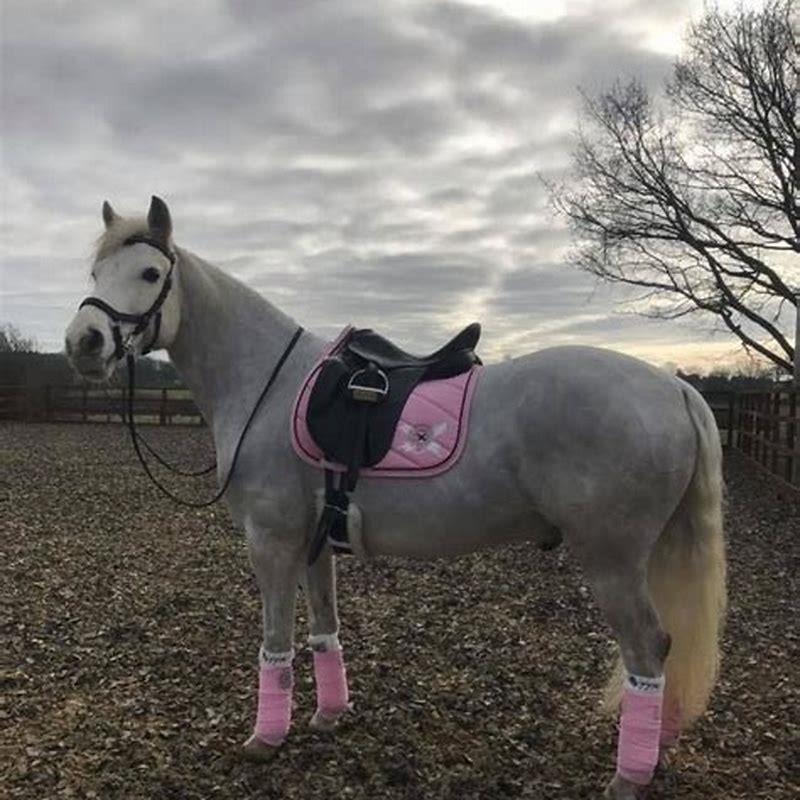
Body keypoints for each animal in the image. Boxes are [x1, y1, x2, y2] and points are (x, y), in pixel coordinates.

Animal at [65, 197, 726, 799]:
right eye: (94, 273)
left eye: (150, 274)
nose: (84, 343)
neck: (266, 383)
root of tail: (674, 388)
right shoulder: (313, 544)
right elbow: (324, 629)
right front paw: (330, 714)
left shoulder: (270, 541)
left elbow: (275, 641)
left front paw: (265, 739)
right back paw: (656, 747)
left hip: (611, 560)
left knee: (648, 649)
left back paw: (628, 775)